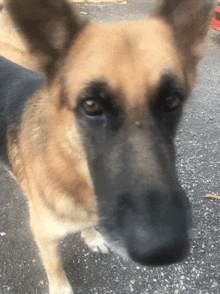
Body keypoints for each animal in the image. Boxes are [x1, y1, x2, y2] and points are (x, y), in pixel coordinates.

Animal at [0, 0, 213, 292]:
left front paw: (90, 236)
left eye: (172, 100)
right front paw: (61, 286)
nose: (163, 250)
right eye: (90, 105)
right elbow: (54, 264)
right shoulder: (43, 233)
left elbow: (86, 225)